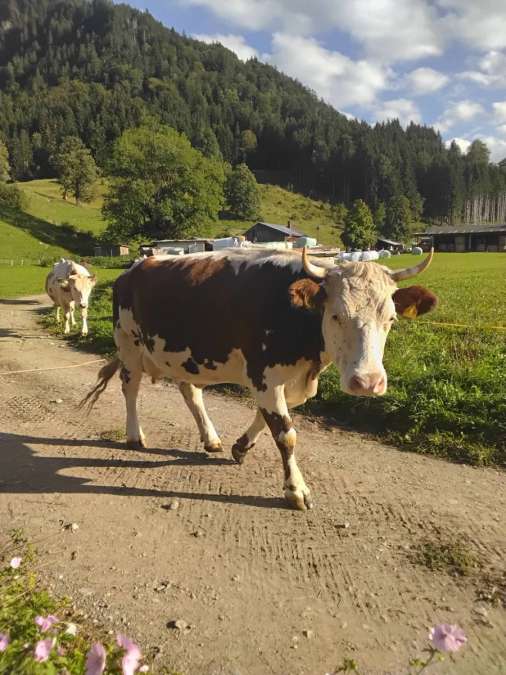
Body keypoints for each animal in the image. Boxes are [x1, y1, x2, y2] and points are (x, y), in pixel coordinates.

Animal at [83, 248, 437, 510]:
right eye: (336, 315)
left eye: (391, 318)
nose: (367, 382)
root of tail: (136, 266)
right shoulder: (264, 375)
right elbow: (285, 434)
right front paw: (296, 490)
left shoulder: (283, 380)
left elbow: (267, 419)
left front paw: (241, 447)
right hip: (128, 341)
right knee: (130, 387)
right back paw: (134, 435)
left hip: (185, 355)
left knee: (190, 391)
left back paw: (210, 437)